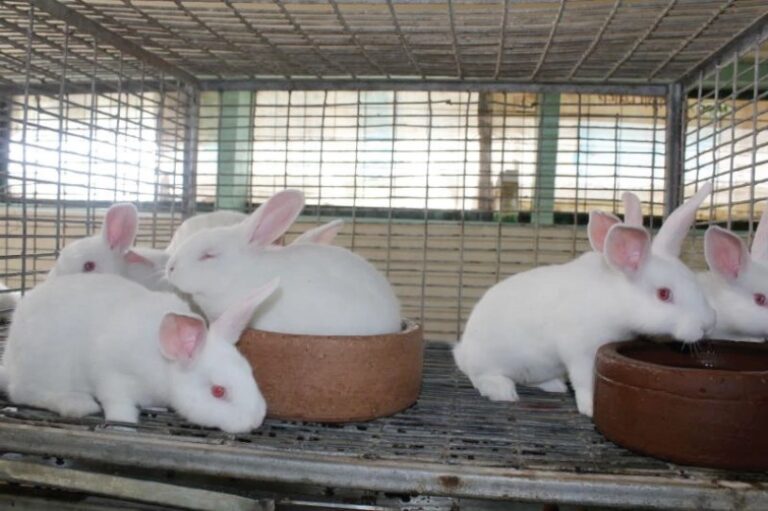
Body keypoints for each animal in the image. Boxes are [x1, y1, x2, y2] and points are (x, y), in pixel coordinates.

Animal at [0, 273, 278, 433]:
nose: (256, 421)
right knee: (25, 393)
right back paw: (76, 404)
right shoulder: (111, 374)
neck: (165, 363)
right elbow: (117, 404)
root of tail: (9, 363)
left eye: (250, 373)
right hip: (46, 369)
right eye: (218, 391)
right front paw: (124, 426)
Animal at [453, 183, 716, 417]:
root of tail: (463, 351)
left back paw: (554, 386)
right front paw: (590, 409)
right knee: (482, 377)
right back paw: (504, 392)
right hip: (489, 362)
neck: (613, 298)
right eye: (664, 294)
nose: (707, 324)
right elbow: (585, 382)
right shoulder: (581, 352)